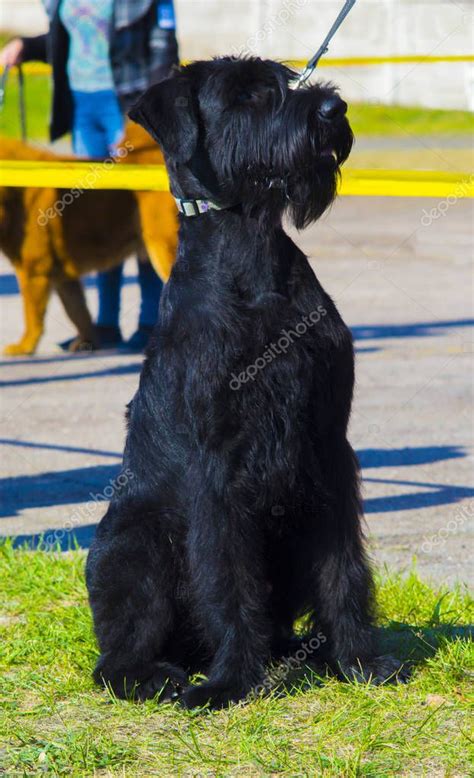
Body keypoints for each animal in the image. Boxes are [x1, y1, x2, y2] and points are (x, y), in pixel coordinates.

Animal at [0, 124, 178, 354]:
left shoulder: (34, 270)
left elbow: (32, 316)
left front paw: (24, 347)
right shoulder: (64, 278)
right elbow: (78, 313)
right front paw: (88, 343)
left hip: (162, 246)